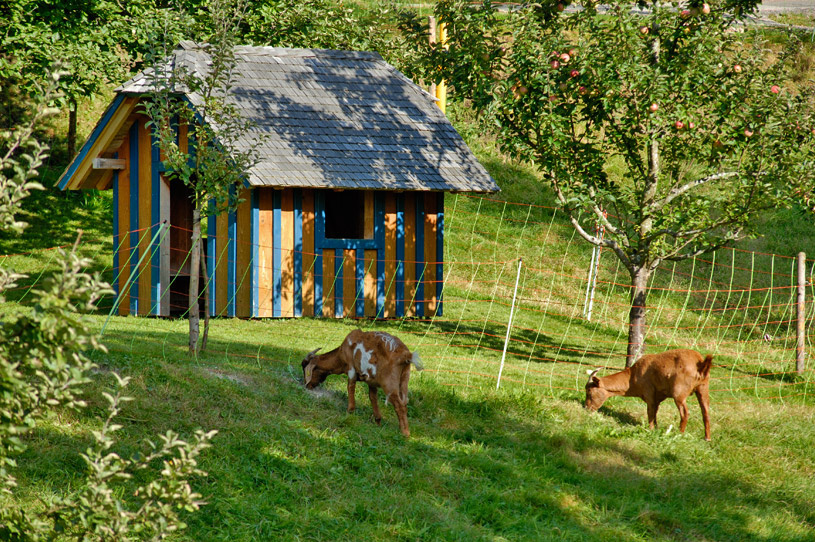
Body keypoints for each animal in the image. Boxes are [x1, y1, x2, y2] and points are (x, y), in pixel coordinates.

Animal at [584, 349, 713, 440]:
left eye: (589, 391)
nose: (587, 408)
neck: (632, 377)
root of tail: (700, 364)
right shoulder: (658, 398)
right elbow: (655, 411)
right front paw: (655, 428)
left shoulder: (649, 393)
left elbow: (650, 412)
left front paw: (650, 429)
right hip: (703, 388)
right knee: (705, 411)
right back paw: (707, 438)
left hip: (679, 394)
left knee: (685, 413)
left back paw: (679, 434)